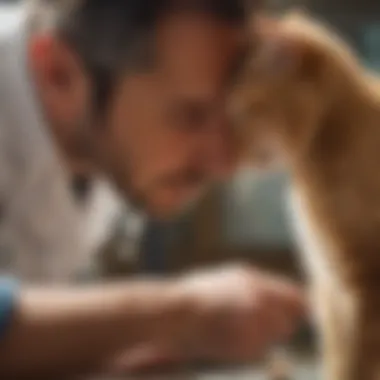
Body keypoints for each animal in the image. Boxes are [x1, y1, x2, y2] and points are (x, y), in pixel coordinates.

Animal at [232, 10, 380, 380]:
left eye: (245, 110)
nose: (227, 150)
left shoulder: (365, 289)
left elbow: (354, 366)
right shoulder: (330, 291)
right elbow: (336, 363)